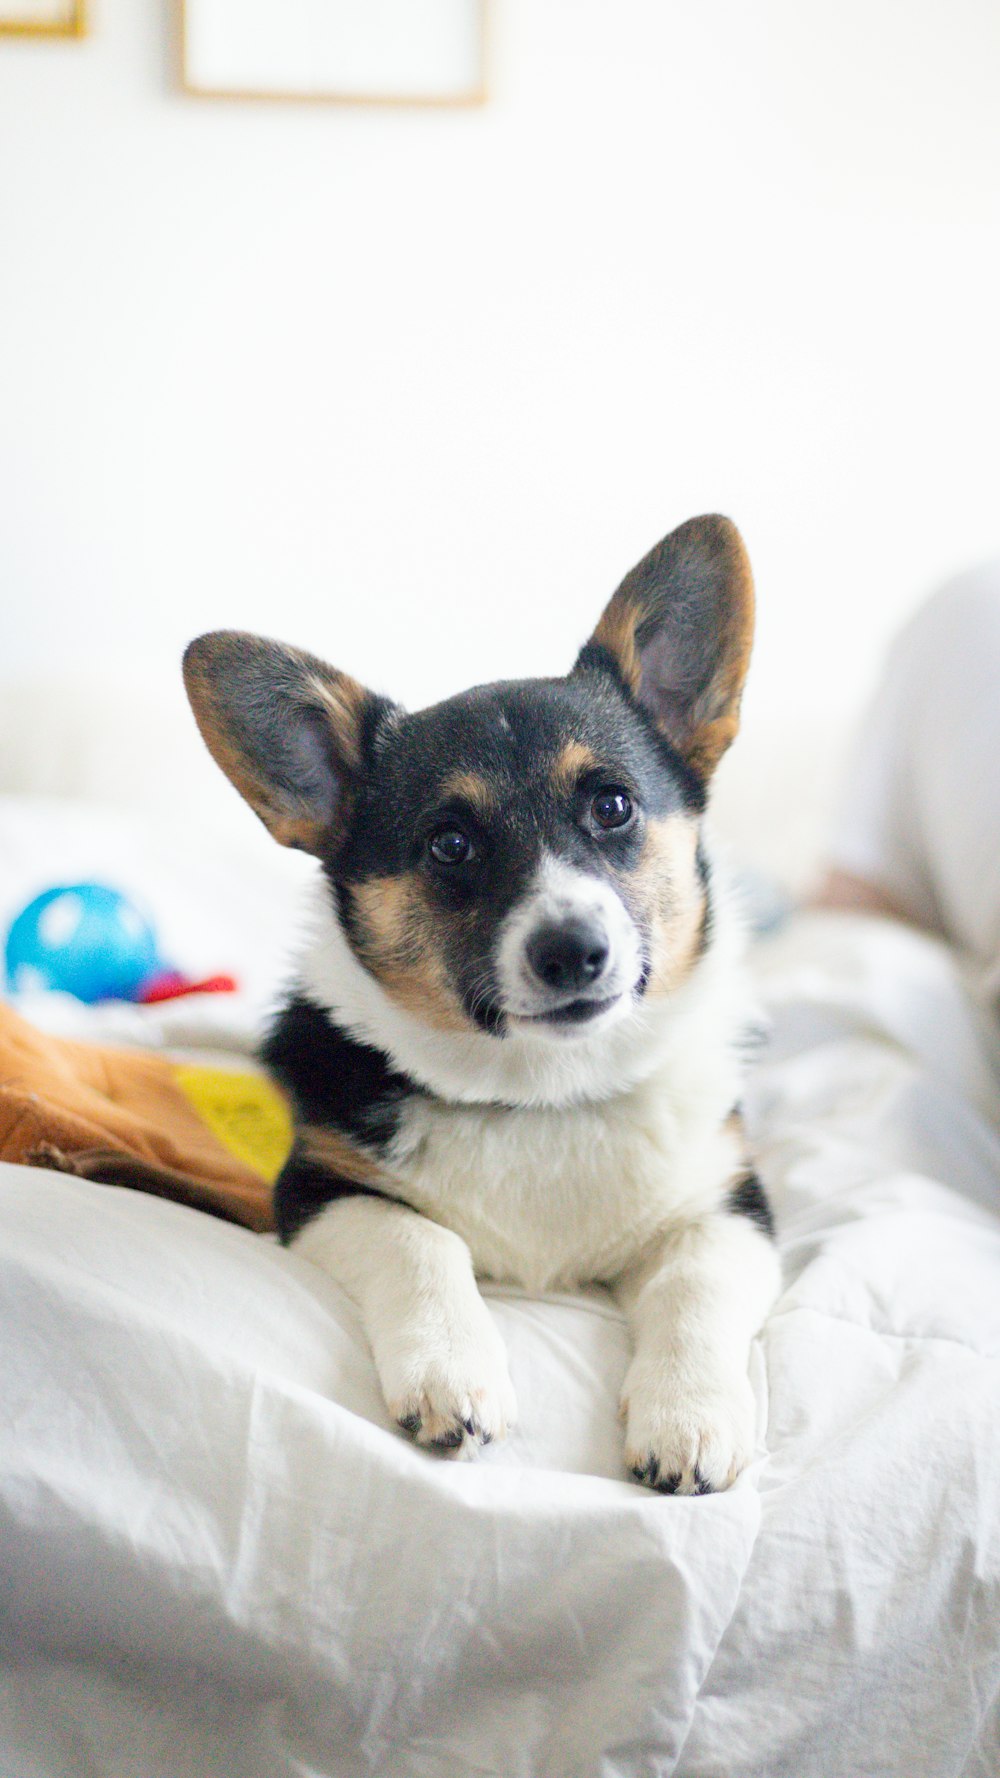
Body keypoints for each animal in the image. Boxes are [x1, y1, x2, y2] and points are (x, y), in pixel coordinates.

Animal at [185, 519, 779, 1500]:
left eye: (614, 805)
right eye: (450, 844)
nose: (573, 951)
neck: (545, 1095)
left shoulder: (731, 1203)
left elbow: (694, 1284)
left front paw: (690, 1421)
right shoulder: (321, 1187)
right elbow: (421, 1241)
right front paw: (451, 1379)